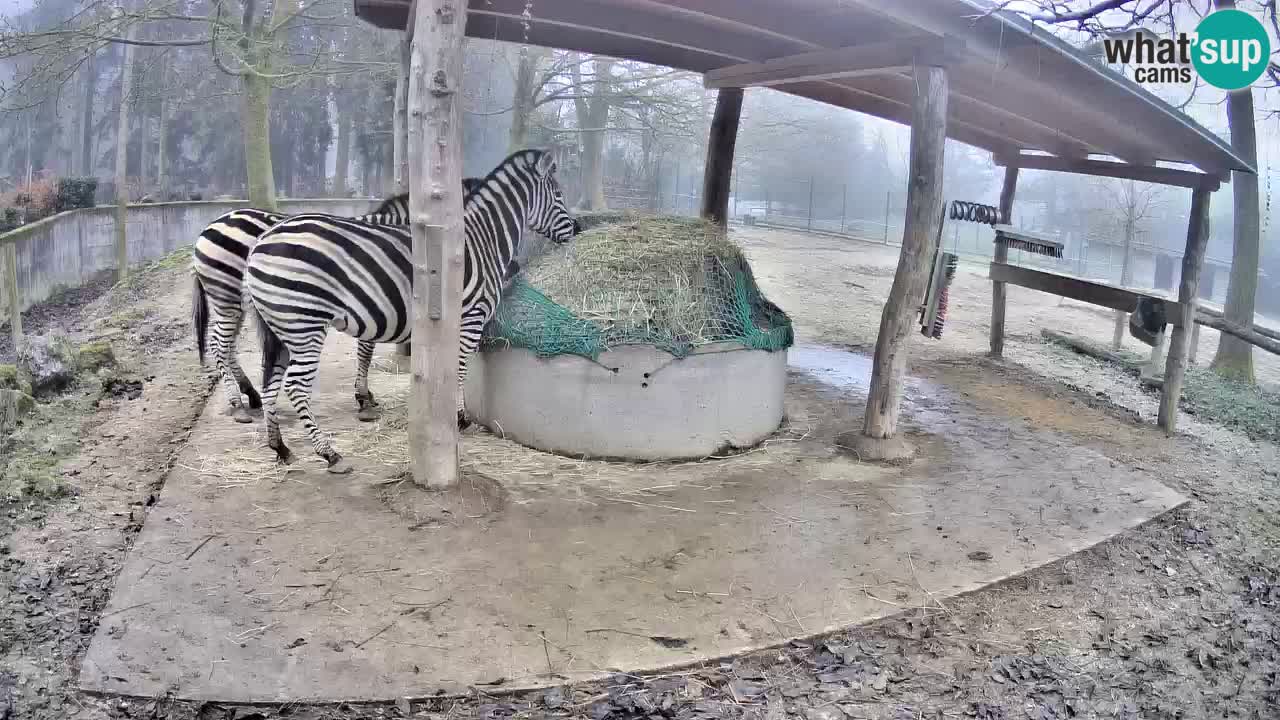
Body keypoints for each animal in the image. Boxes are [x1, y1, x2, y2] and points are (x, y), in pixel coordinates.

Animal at [191, 179, 483, 425]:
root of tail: (209, 226)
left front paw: (365, 396)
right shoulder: (373, 301)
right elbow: (366, 350)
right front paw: (364, 399)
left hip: (235, 303)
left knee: (227, 346)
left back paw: (250, 394)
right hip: (227, 297)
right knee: (219, 345)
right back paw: (237, 404)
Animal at [243, 149, 579, 473]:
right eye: (559, 194)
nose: (578, 228)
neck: (483, 241)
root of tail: (262, 240)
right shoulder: (471, 317)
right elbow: (459, 368)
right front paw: (458, 418)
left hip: (281, 328)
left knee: (270, 383)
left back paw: (281, 448)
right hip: (304, 324)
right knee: (295, 387)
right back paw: (329, 454)